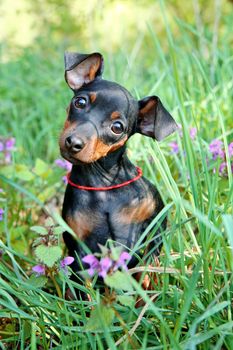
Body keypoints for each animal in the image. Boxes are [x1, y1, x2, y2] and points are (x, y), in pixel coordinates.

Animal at [59, 52, 177, 272]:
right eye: (80, 102)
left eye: (117, 127)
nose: (73, 142)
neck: (104, 185)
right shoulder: (79, 250)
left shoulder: (143, 239)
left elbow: (143, 274)